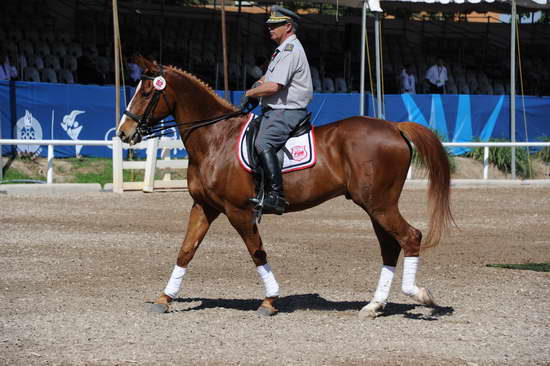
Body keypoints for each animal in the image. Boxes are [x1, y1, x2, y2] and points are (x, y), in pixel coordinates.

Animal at [116, 57, 452, 318]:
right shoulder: (204, 207)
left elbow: (257, 252)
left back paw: (420, 295)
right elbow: (186, 251)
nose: (123, 132)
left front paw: (270, 300)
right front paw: (164, 298)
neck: (215, 139)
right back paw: (374, 305)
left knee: (410, 237)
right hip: (374, 206)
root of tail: (393, 126)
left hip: (379, 204)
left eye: (147, 93)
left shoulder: (238, 211)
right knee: (390, 246)